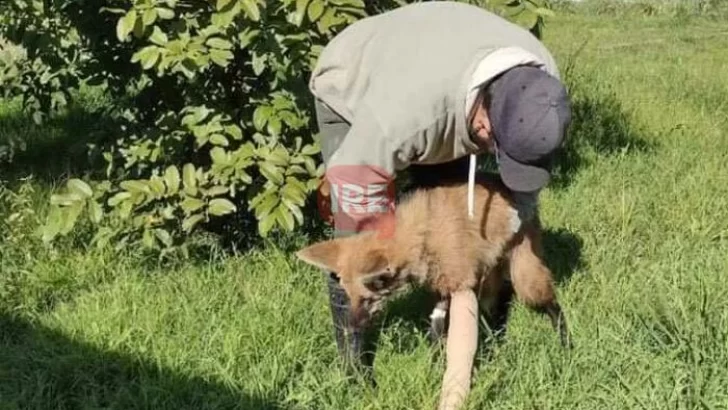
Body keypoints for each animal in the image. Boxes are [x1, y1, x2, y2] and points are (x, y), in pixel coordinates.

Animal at [294, 175, 568, 348]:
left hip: (523, 267)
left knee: (547, 301)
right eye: (348, 296)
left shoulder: (460, 280)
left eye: (367, 298)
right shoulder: (444, 285)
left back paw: (564, 344)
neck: (423, 238)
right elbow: (437, 326)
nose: (350, 328)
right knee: (497, 299)